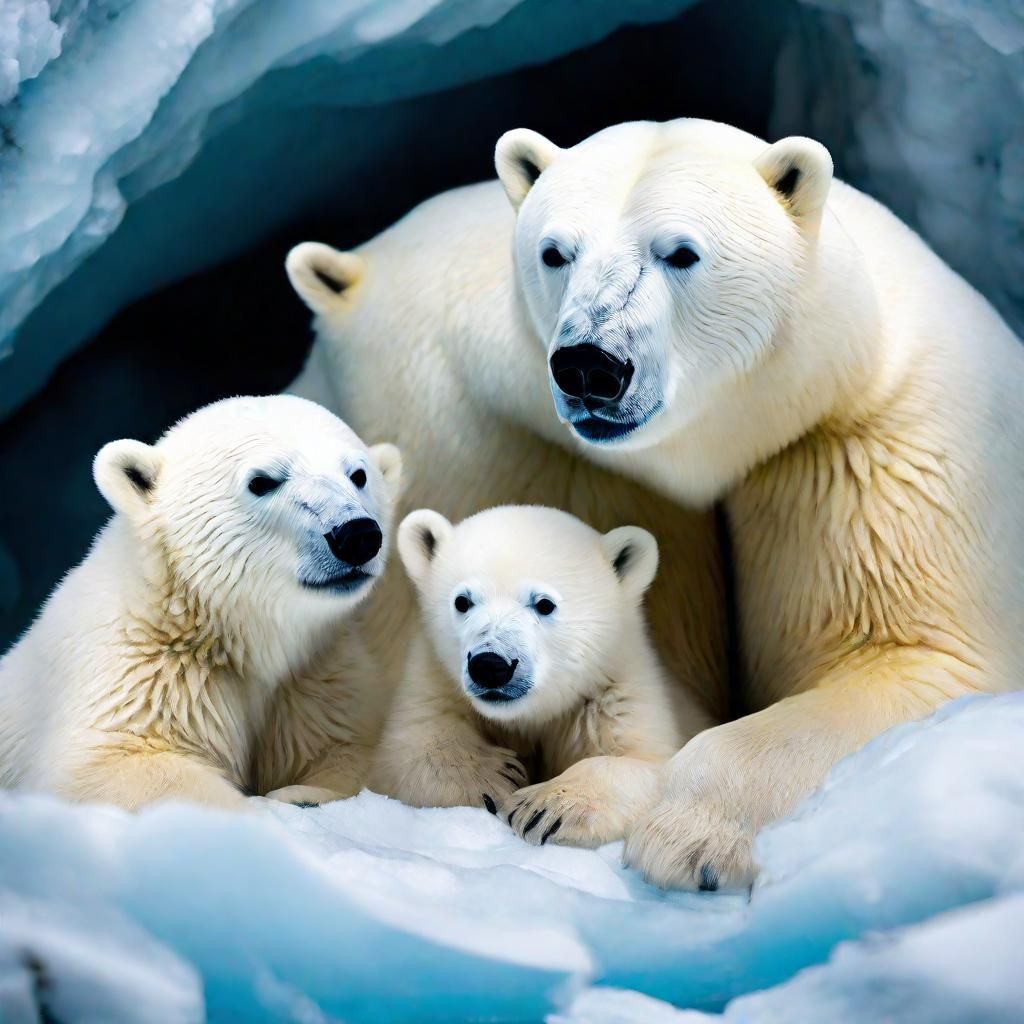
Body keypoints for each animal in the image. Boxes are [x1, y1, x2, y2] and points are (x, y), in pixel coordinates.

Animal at [0, 395, 403, 810]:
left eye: (358, 474)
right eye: (262, 481)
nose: (356, 535)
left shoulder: (317, 678)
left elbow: (348, 748)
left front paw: (303, 794)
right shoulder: (141, 678)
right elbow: (112, 763)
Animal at [372, 505, 686, 847]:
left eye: (544, 604)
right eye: (462, 601)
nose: (490, 665)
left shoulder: (614, 692)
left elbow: (650, 765)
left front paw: (544, 809)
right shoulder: (435, 679)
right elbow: (412, 749)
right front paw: (493, 777)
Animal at [493, 116, 1024, 889]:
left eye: (681, 251)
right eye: (555, 251)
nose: (590, 365)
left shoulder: (874, 473)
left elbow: (920, 661)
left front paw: (686, 838)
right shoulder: (623, 491)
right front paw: (563, 798)